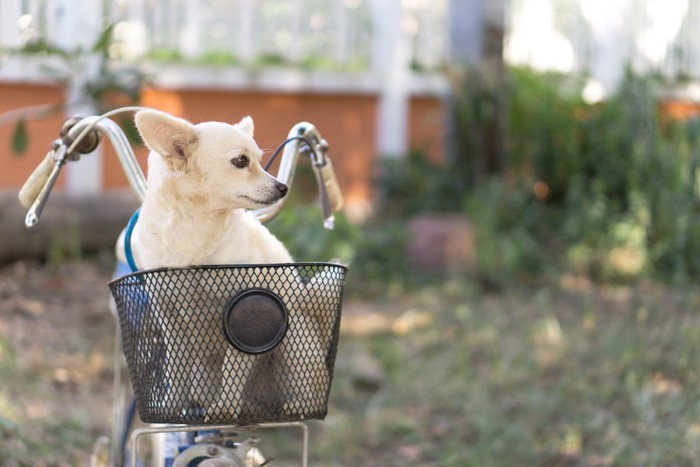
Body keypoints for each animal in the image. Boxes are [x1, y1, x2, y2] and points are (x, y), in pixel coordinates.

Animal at [120, 110, 330, 424]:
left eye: (259, 160)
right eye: (241, 161)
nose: (283, 187)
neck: (195, 224)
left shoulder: (245, 317)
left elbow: (235, 367)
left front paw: (225, 406)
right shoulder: (169, 321)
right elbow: (175, 370)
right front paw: (170, 405)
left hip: (294, 338)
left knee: (309, 390)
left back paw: (297, 405)